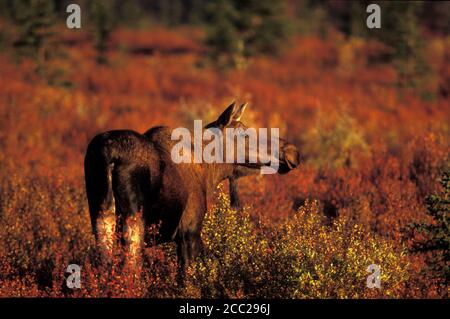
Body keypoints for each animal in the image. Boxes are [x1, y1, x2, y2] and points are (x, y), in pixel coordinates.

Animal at [84, 102, 302, 276]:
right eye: (243, 133)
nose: (293, 152)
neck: (209, 170)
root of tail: (109, 153)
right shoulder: (189, 231)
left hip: (101, 214)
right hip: (134, 218)